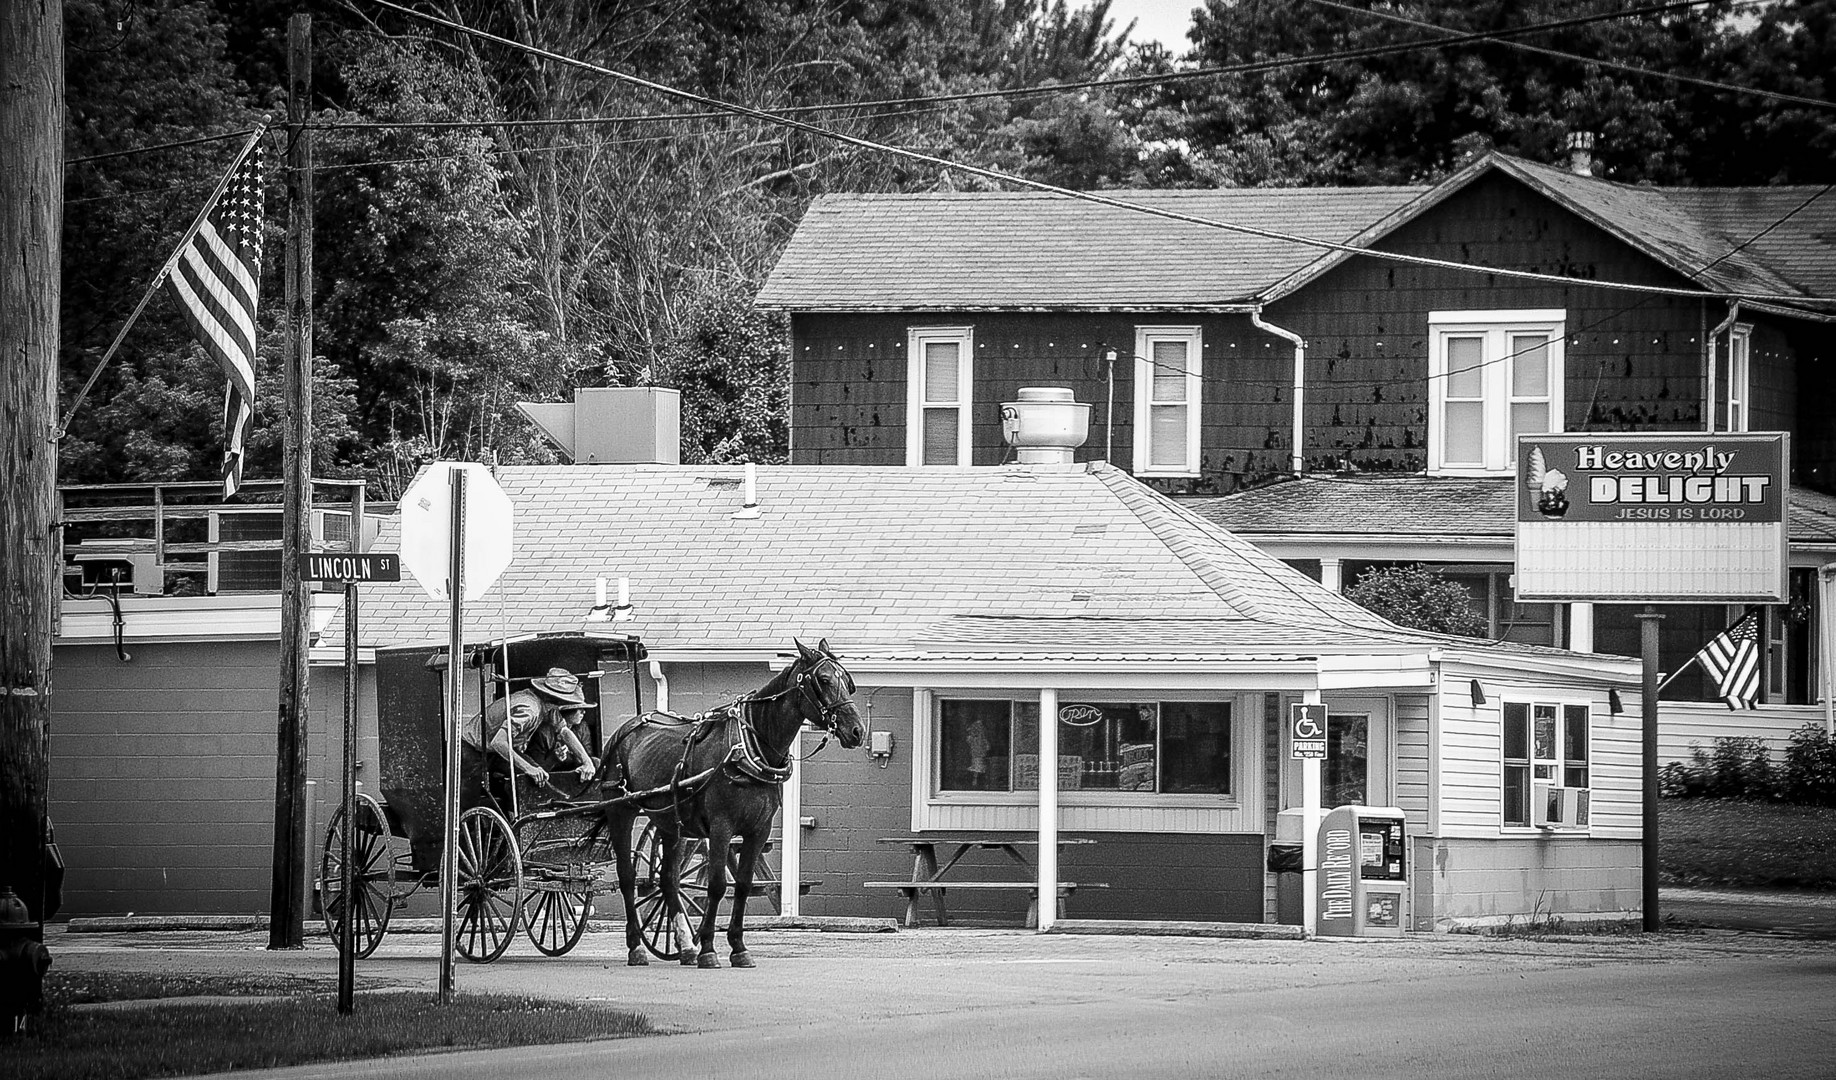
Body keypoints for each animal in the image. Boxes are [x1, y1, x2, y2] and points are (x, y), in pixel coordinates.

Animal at [598, 635, 862, 962]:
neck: (749, 747)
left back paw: (685, 945)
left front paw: (737, 947)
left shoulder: (758, 830)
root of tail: (626, 728)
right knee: (626, 876)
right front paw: (710, 949)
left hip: (670, 822)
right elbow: (717, 885)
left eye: (848, 682)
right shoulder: (721, 827)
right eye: (824, 679)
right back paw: (636, 946)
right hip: (620, 811)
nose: (857, 731)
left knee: (669, 879)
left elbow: (744, 885)